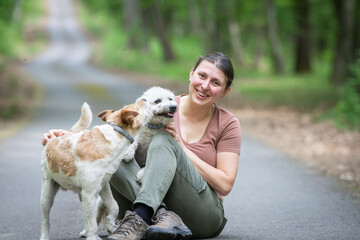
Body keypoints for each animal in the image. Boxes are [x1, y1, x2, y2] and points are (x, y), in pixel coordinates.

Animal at [40, 100, 149, 240]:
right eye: (137, 107)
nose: (144, 100)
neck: (114, 134)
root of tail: (53, 139)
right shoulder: (90, 193)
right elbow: (92, 221)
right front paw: (93, 236)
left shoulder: (103, 187)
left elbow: (113, 206)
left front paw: (111, 225)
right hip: (47, 194)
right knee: (45, 219)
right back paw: (45, 236)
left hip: (81, 195)